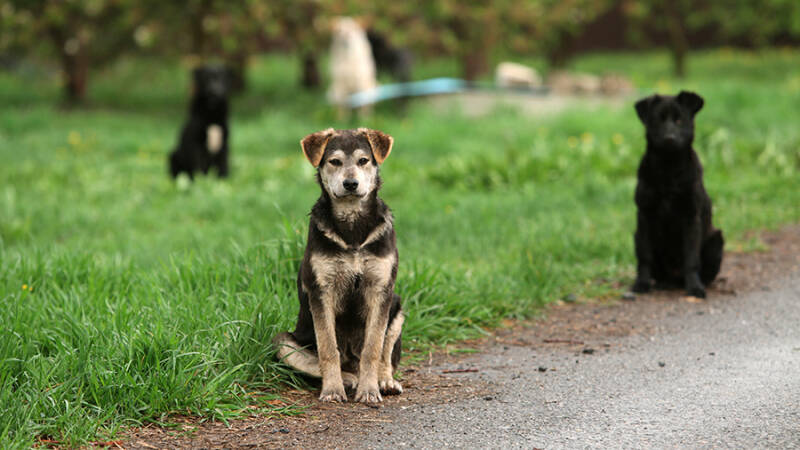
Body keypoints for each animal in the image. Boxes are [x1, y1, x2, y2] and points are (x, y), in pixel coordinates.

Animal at [276, 127, 404, 404]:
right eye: (334, 162)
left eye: (363, 160)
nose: (350, 184)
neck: (352, 223)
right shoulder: (322, 290)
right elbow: (328, 348)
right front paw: (332, 390)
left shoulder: (381, 289)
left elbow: (373, 347)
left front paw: (370, 391)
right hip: (283, 342)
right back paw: (348, 379)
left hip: (398, 307)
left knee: (385, 354)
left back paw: (384, 381)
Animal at [632, 89, 724, 298]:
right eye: (658, 120)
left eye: (679, 120)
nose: (669, 138)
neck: (669, 169)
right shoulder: (644, 216)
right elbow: (645, 257)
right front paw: (642, 283)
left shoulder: (691, 217)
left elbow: (691, 258)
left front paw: (695, 287)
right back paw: (661, 284)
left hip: (716, 241)